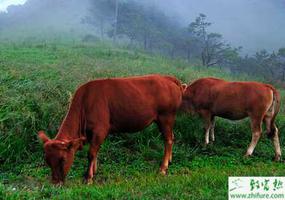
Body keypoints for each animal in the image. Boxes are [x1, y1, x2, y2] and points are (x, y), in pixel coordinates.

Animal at [37, 74, 183, 184]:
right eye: (47, 160)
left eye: (62, 159)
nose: (55, 182)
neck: (85, 102)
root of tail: (166, 78)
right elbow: (95, 153)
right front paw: (93, 171)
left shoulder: (100, 130)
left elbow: (91, 153)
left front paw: (88, 178)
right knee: (172, 137)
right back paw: (169, 161)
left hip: (166, 117)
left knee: (168, 140)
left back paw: (163, 168)